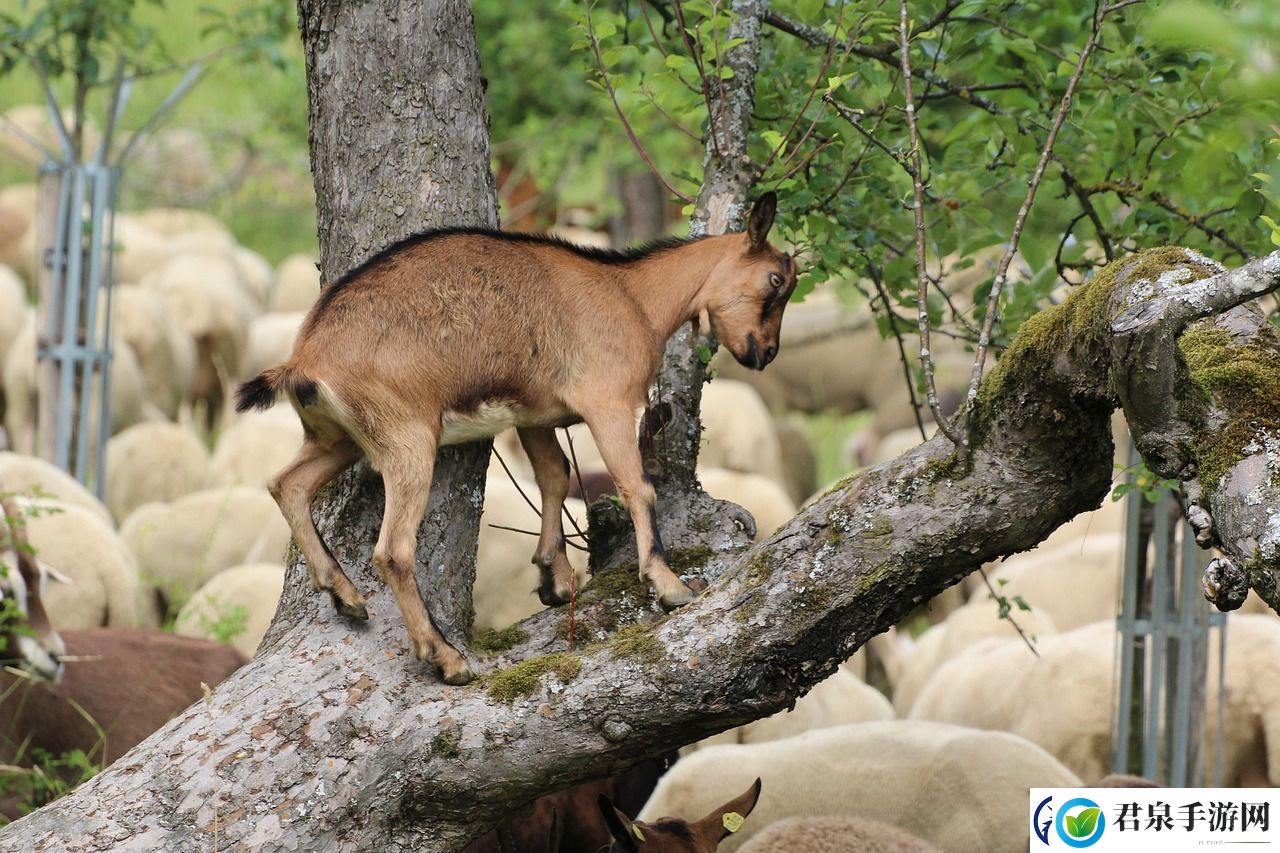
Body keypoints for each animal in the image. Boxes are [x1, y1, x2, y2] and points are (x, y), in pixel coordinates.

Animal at [236, 194, 793, 686]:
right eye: (776, 280)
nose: (765, 353)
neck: (633, 296)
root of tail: (306, 359)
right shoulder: (607, 403)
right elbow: (637, 487)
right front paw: (670, 586)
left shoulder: (534, 416)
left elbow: (554, 476)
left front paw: (555, 578)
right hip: (407, 439)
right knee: (393, 550)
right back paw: (445, 658)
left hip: (338, 439)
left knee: (287, 484)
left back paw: (345, 595)